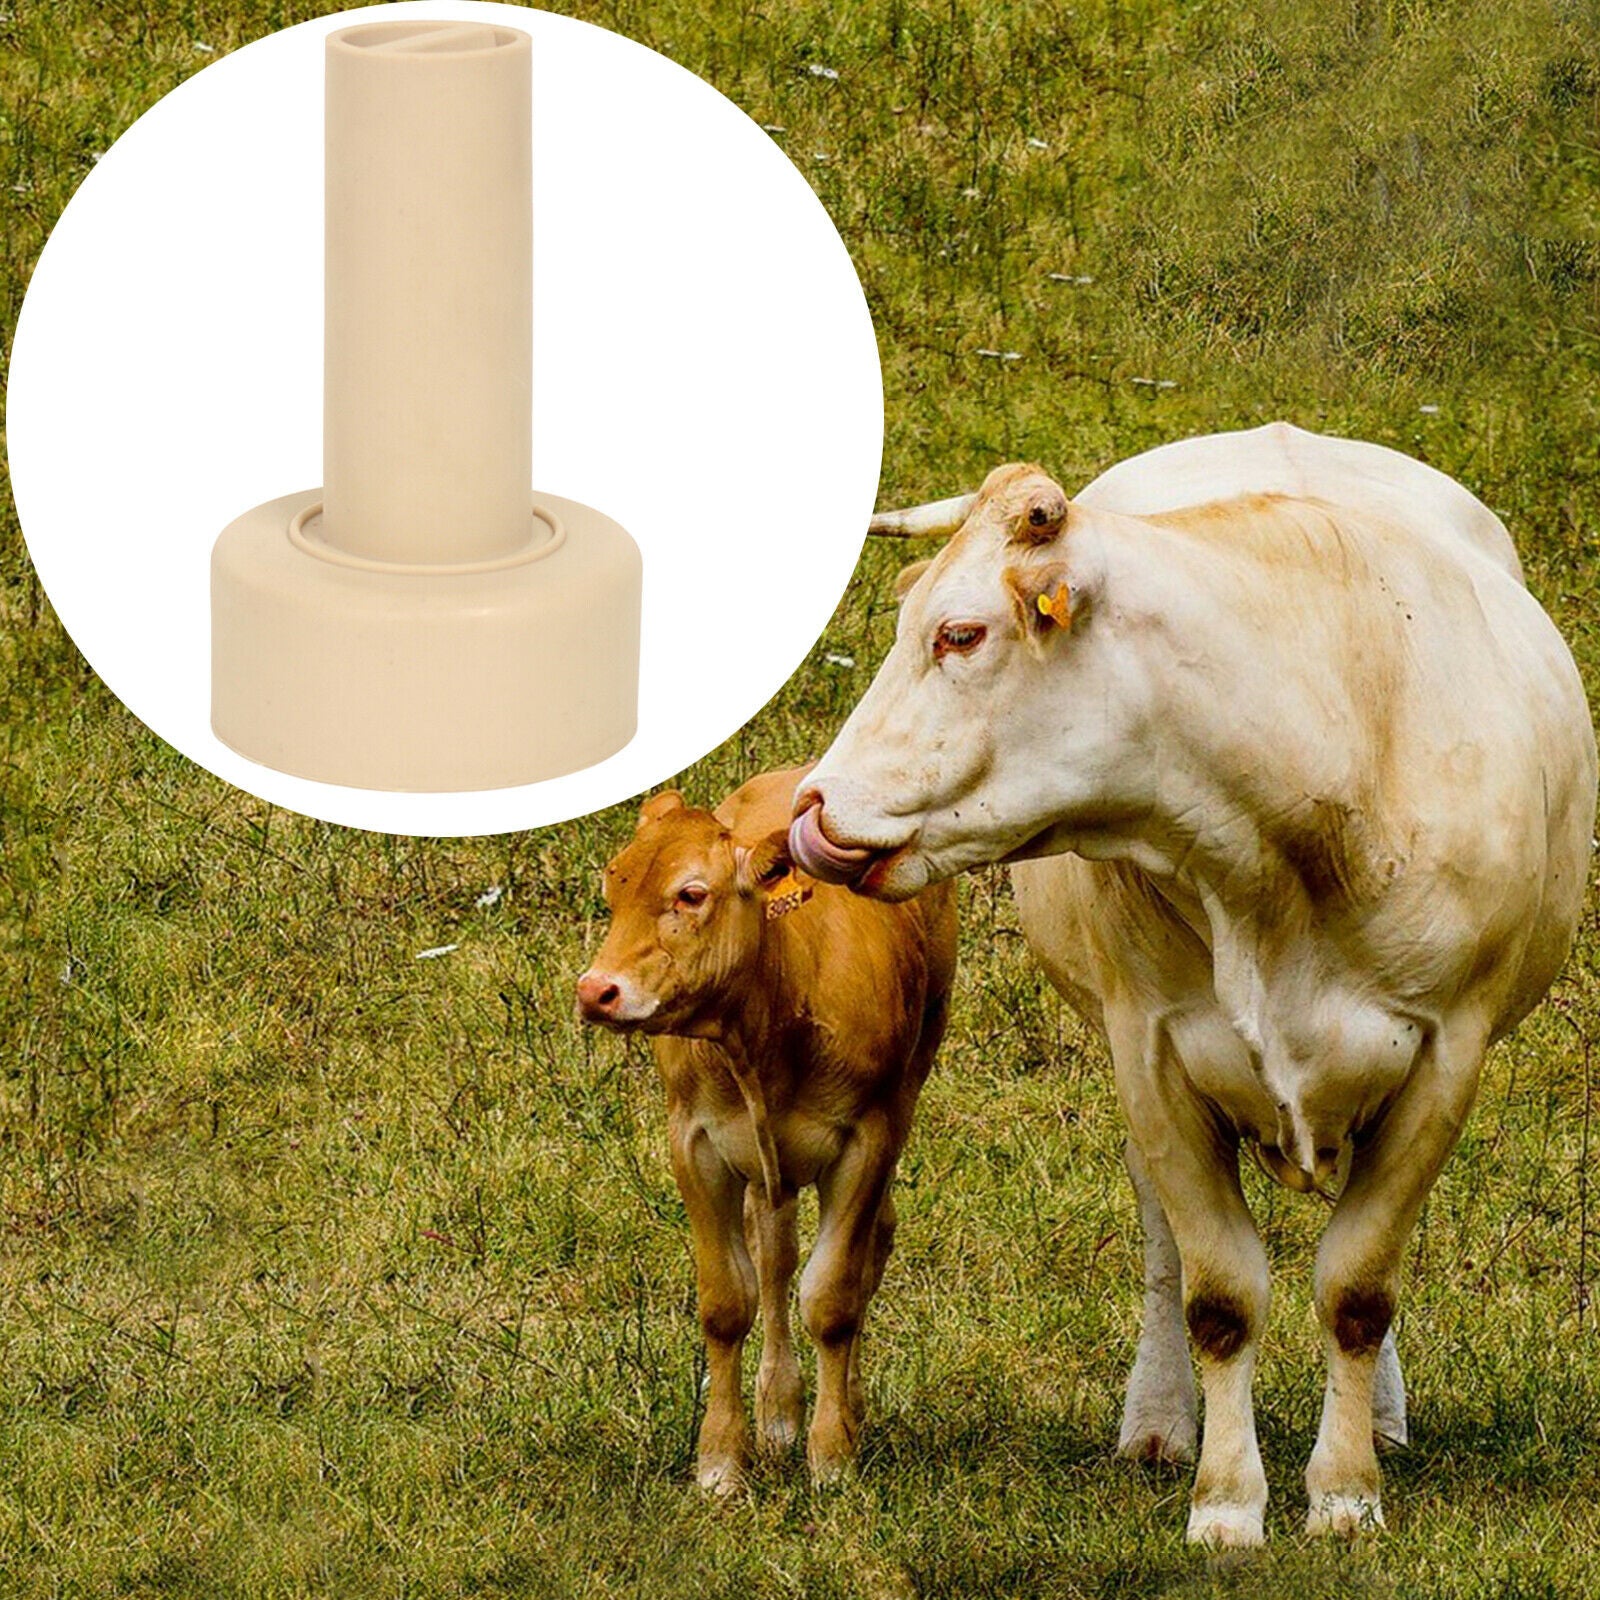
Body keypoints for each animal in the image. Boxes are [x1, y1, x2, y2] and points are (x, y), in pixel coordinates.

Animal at [576, 766, 957, 1492]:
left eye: (691, 894)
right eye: (613, 886)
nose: (596, 991)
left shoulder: (867, 1140)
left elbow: (834, 1298)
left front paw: (833, 1456)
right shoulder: (695, 1141)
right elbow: (728, 1302)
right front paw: (722, 1462)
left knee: (867, 1250)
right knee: (774, 1256)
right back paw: (777, 1411)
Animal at [788, 423, 1597, 1545]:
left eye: (959, 633)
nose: (811, 809)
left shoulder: (1449, 1050)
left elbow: (1359, 1285)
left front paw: (1346, 1491)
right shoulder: (1154, 1052)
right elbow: (1218, 1294)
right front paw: (1225, 1503)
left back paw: (1384, 1418)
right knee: (1163, 1239)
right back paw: (1161, 1421)